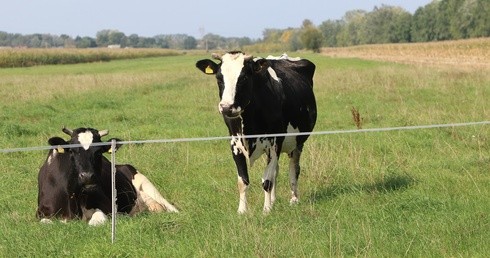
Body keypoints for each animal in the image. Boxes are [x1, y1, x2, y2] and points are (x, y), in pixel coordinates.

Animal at [36, 127, 179, 226]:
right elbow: (46, 222)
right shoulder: (40, 213)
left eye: (99, 151)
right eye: (72, 150)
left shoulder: (108, 206)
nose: (87, 176)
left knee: (170, 207)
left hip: (147, 185)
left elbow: (95, 222)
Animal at [195, 51, 318, 213]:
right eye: (219, 78)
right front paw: (242, 210)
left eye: (244, 78)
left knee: (293, 169)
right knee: (276, 171)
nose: (227, 107)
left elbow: (267, 181)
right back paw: (274, 200)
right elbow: (243, 181)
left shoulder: (275, 142)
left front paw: (266, 210)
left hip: (297, 142)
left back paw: (294, 199)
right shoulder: (234, 144)